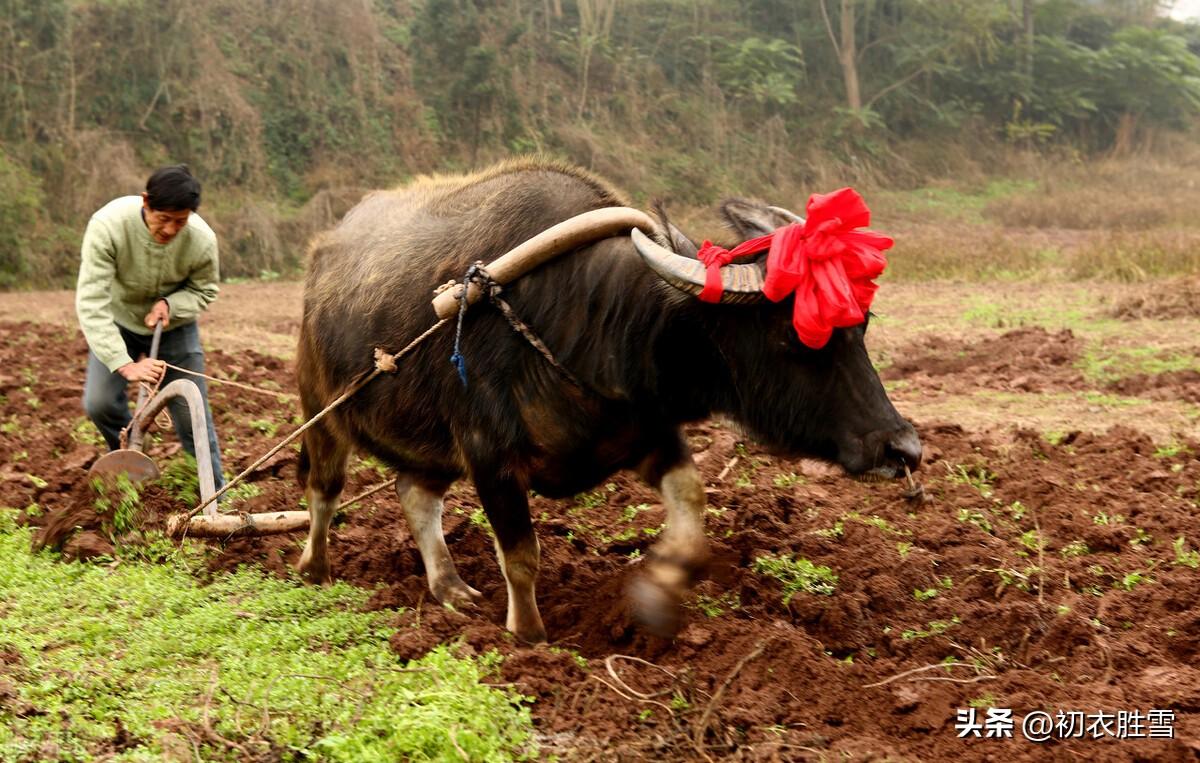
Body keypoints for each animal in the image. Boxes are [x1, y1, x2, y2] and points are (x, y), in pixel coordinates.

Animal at [292, 158, 916, 643]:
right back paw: (312, 567)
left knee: (415, 494)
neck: (587, 320)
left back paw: (450, 587)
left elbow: (691, 507)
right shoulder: (489, 457)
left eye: (862, 324)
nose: (902, 448)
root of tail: (320, 258)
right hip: (320, 411)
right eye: (792, 337)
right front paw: (529, 638)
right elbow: (522, 557)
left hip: (427, 444)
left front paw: (658, 593)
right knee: (324, 491)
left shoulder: (644, 434)